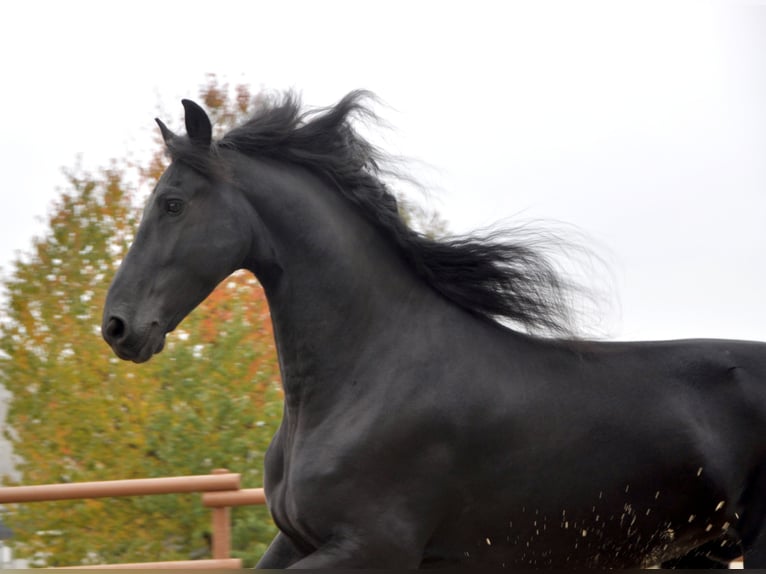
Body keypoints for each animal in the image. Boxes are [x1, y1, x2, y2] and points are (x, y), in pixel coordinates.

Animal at [102, 91, 766, 568]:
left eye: (172, 204)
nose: (117, 327)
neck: (366, 377)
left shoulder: (374, 547)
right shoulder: (298, 539)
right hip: (698, 554)